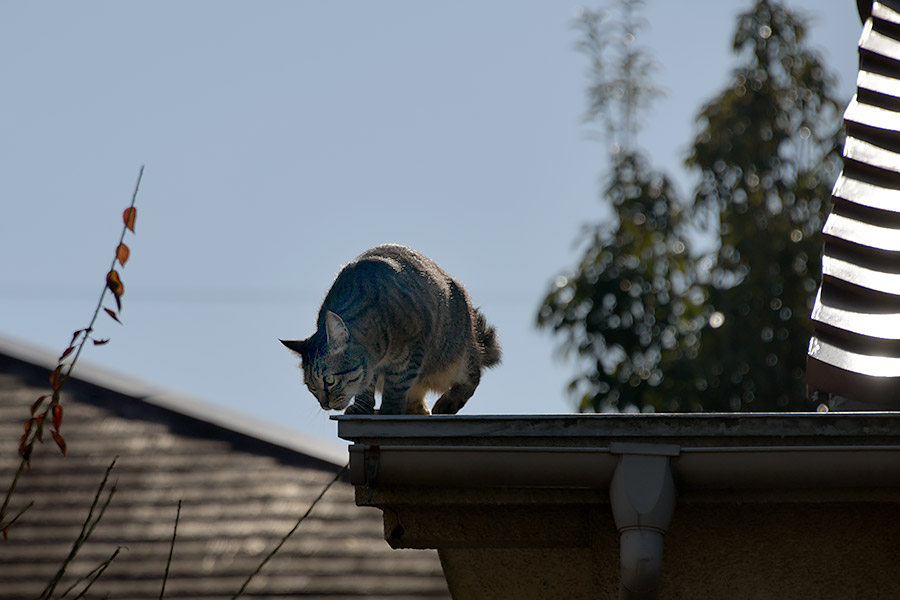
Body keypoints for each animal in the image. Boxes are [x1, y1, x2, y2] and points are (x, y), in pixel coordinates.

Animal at [282, 243, 502, 412]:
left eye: (329, 380)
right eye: (311, 388)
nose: (324, 405)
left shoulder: (412, 352)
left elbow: (396, 387)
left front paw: (389, 409)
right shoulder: (372, 368)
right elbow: (367, 385)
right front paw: (362, 407)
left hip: (456, 356)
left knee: (473, 376)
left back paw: (447, 403)